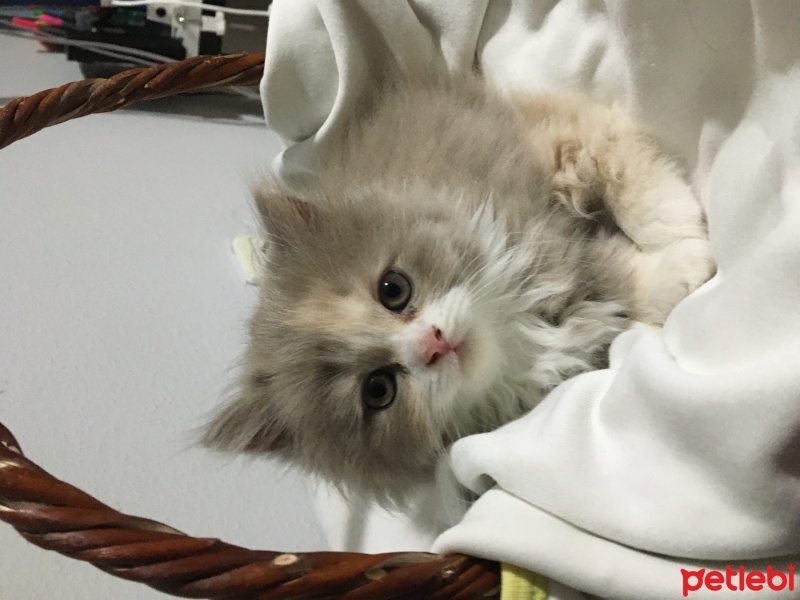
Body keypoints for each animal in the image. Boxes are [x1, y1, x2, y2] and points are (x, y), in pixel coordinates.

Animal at [203, 71, 716, 502]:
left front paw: (687, 234)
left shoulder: (555, 150)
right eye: (378, 390)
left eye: (393, 289)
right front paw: (683, 266)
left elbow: (635, 190)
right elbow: (616, 279)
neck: (514, 332)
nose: (433, 343)